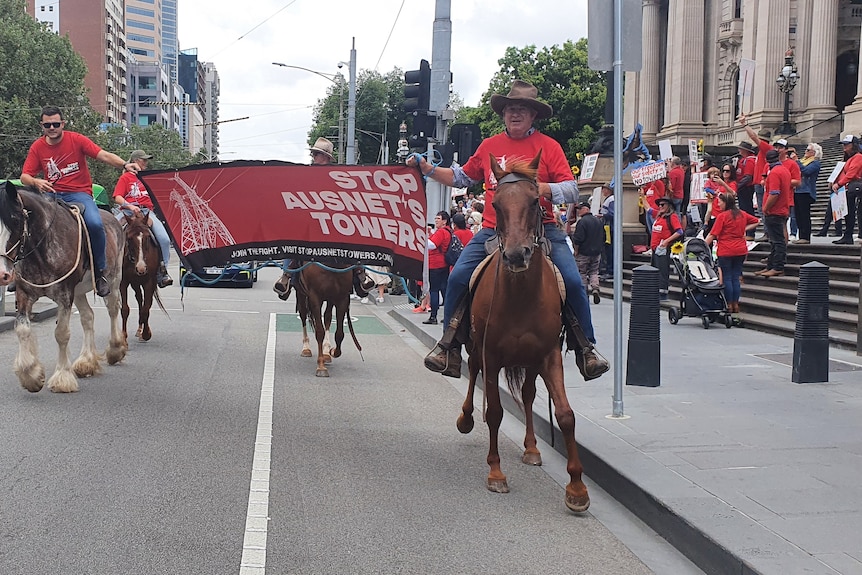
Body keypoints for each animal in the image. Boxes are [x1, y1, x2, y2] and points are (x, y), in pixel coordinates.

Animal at [0, 182, 126, 394]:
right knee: (88, 317)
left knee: (113, 309)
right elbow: (22, 329)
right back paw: (86, 362)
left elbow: (61, 333)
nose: (2, 273)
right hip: (80, 291)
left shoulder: (65, 295)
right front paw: (31, 376)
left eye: (16, 221)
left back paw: (116, 349)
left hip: (113, 280)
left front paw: (62, 377)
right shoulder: (24, 293)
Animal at [456, 152, 592, 512]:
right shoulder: (490, 354)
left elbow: (565, 415)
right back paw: (465, 419)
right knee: (471, 372)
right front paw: (495, 473)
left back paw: (531, 448)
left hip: (530, 362)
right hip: (476, 348)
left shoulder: (549, 355)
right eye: (496, 204)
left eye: (534, 201)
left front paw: (577, 489)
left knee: (529, 395)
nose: (517, 255)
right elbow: (494, 411)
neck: (521, 296)